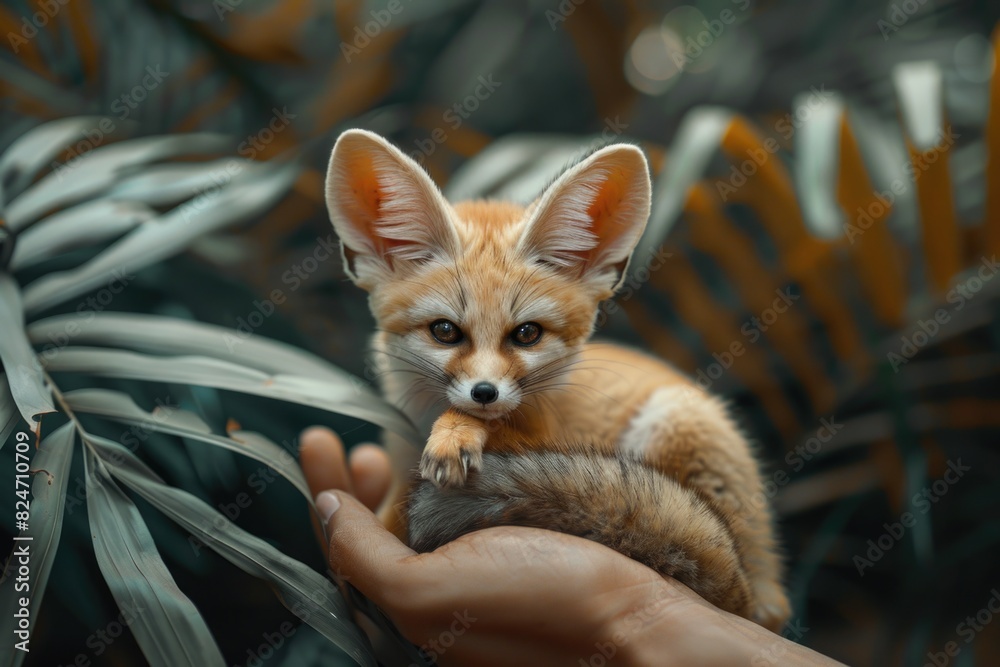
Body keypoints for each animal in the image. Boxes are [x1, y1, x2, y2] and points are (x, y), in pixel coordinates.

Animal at [324, 129, 791, 631]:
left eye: (527, 334)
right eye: (445, 331)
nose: (484, 393)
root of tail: (761, 584)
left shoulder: (541, 432)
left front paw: (457, 433)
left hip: (675, 424)